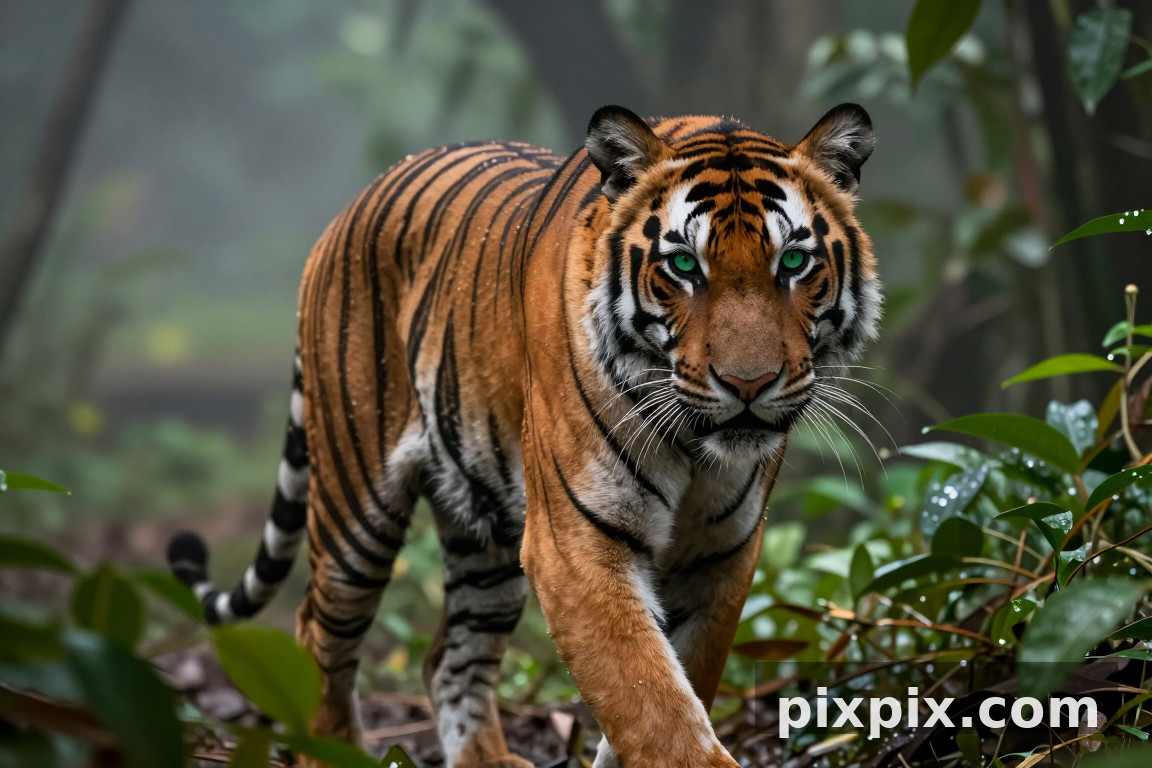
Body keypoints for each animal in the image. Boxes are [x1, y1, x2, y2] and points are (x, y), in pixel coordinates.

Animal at [168, 103, 879, 768]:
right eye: (682, 264)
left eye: (794, 261)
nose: (748, 383)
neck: (697, 452)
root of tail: (352, 203)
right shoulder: (576, 547)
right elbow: (651, 701)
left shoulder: (721, 558)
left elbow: (675, 688)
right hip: (355, 507)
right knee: (318, 634)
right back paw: (329, 750)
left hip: (485, 534)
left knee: (449, 657)